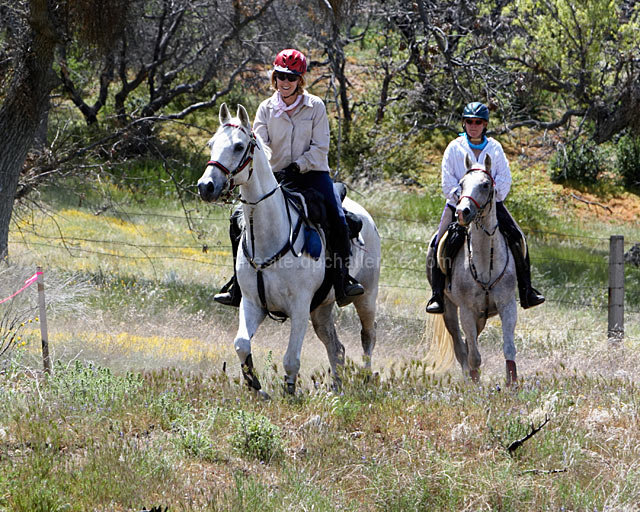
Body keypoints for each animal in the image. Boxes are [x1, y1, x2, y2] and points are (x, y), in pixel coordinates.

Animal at [424, 154, 520, 386]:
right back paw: (468, 376)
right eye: (461, 184)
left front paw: (512, 383)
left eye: (485, 184)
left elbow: (508, 348)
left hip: (482, 316)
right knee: (461, 348)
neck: (485, 262)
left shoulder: (507, 306)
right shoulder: (466, 311)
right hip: (449, 310)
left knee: (469, 342)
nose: (462, 212)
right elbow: (473, 356)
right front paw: (475, 384)